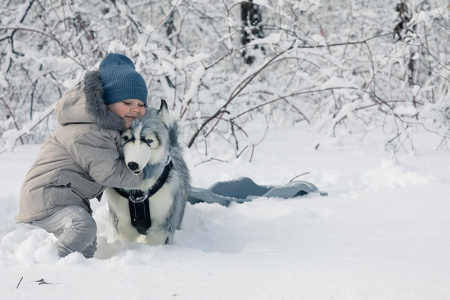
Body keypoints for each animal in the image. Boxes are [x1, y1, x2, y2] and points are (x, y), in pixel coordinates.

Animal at [104, 99, 189, 245]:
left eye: (149, 140)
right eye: (125, 138)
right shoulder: (123, 224)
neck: (139, 192)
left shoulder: (162, 226)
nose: (133, 165)